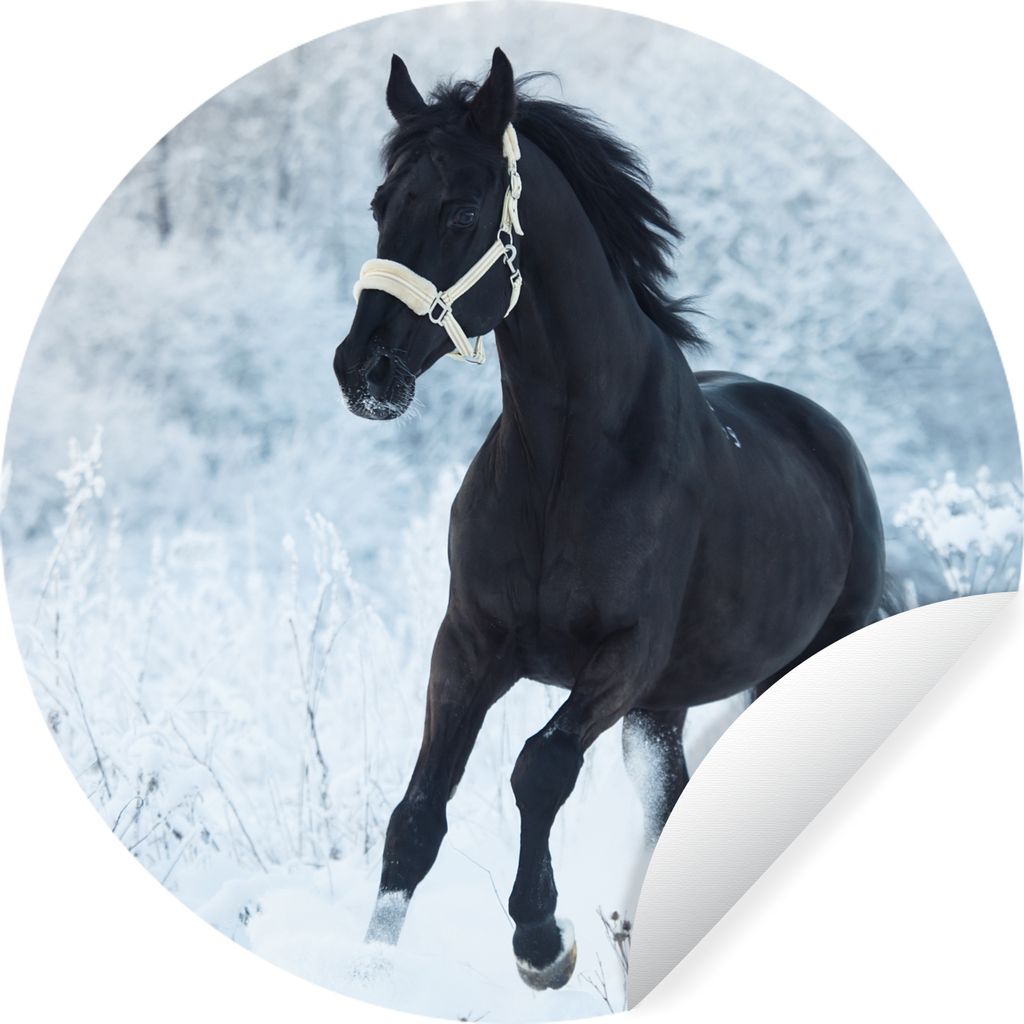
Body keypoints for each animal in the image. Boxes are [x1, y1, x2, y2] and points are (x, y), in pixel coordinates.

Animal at [333, 48, 885, 991]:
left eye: (459, 210)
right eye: (380, 204)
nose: (362, 370)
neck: (567, 466)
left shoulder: (624, 655)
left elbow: (540, 769)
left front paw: (542, 943)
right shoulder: (471, 645)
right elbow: (417, 814)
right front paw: (366, 973)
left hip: (791, 664)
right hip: (661, 713)